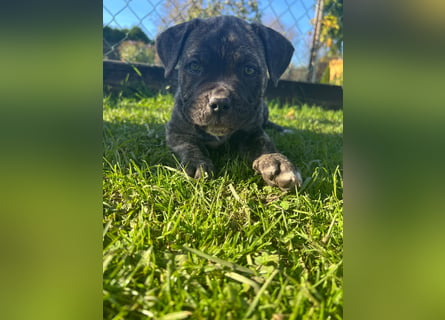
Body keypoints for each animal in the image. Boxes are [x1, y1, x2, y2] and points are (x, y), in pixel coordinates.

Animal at [155, 15, 302, 190]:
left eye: (249, 70)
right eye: (195, 66)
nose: (219, 104)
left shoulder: (252, 131)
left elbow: (265, 144)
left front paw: (277, 161)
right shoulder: (177, 131)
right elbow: (189, 144)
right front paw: (196, 162)